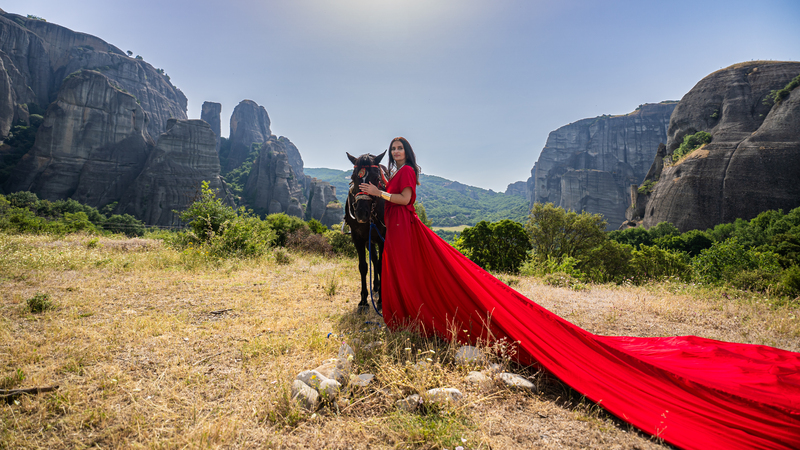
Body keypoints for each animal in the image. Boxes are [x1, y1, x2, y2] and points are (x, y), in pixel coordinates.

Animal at [344, 151, 388, 314]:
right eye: (353, 177)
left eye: (376, 178)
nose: (361, 213)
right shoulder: (358, 238)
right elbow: (363, 266)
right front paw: (363, 301)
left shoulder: (382, 238)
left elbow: (382, 265)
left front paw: (381, 300)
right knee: (374, 260)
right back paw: (375, 285)